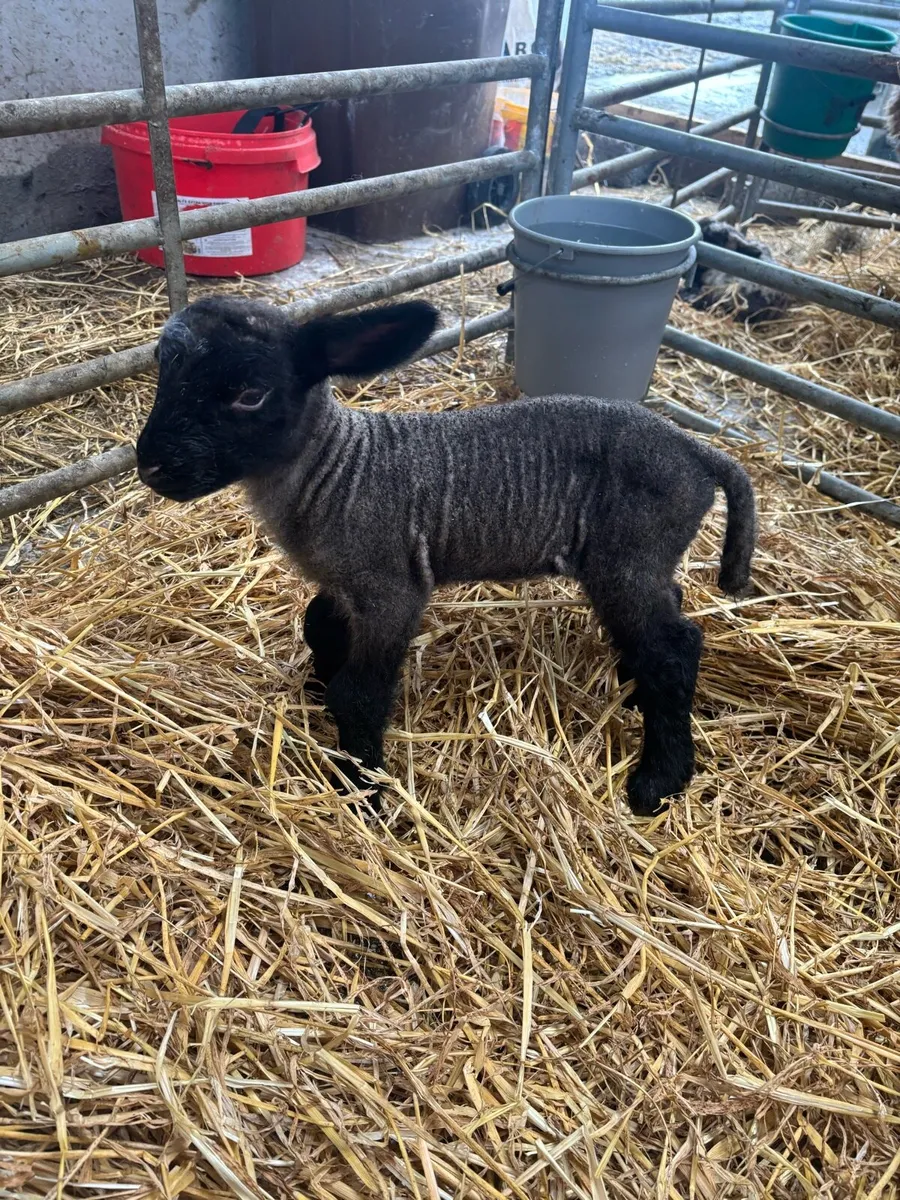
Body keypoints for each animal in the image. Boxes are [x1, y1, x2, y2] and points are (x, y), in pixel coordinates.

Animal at [135, 297, 757, 818]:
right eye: (164, 366)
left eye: (250, 393)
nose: (151, 466)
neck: (335, 470)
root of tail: (699, 453)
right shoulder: (348, 581)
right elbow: (317, 625)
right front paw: (317, 685)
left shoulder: (391, 588)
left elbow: (358, 693)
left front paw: (362, 790)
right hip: (643, 560)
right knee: (667, 609)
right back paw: (631, 678)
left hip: (629, 556)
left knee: (675, 649)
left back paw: (660, 780)